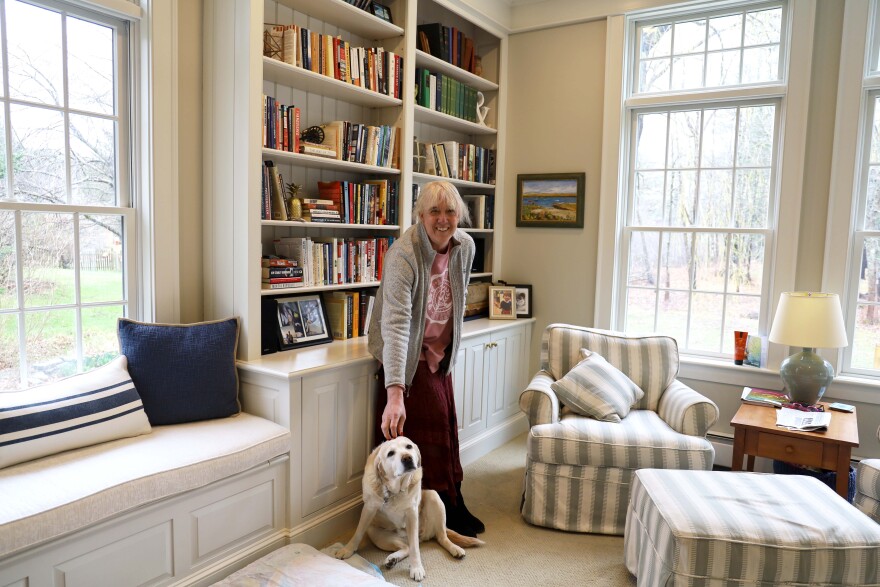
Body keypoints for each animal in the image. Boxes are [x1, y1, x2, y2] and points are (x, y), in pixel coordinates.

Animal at [336, 434, 488, 580]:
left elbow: (415, 548)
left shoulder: (412, 514)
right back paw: (392, 559)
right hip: (377, 534)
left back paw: (454, 549)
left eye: (408, 447)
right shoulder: (369, 508)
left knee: (439, 537)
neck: (395, 490)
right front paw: (347, 550)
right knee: (406, 547)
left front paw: (416, 568)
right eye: (390, 453)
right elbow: (358, 532)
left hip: (433, 497)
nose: (407, 458)